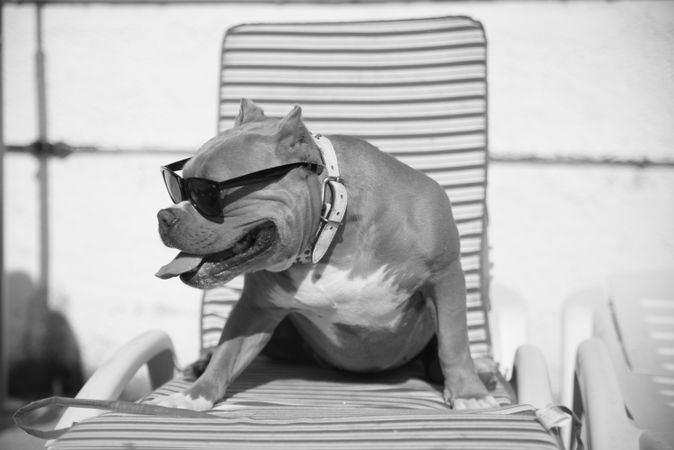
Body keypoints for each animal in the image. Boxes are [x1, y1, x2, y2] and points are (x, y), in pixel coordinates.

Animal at [155, 99, 496, 412]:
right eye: (177, 188)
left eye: (204, 194)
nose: (163, 216)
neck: (329, 224)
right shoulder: (257, 307)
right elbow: (228, 351)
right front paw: (195, 395)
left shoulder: (445, 276)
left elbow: (454, 341)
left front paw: (469, 394)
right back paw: (201, 363)